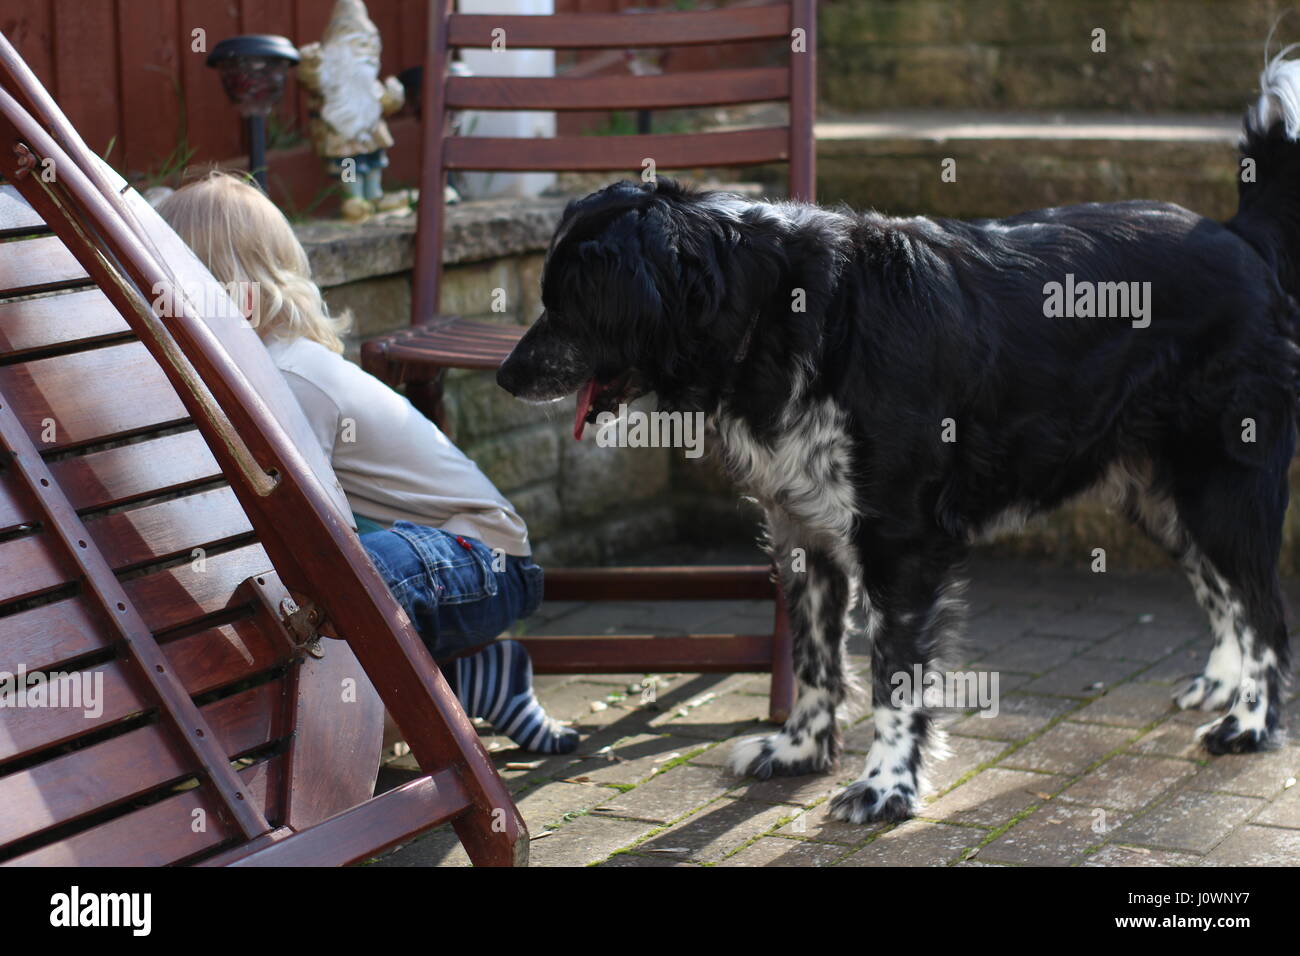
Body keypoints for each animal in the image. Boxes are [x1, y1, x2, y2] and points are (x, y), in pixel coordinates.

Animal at [493, 48, 1300, 822]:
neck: (784, 312)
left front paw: (886, 788)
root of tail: (1240, 239)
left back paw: (1250, 724)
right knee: (1226, 598)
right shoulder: (802, 535)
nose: (504, 375)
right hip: (1162, 498)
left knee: (1266, 613)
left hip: (1223, 486)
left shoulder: (900, 545)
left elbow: (895, 682)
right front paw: (799, 751)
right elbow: (815, 664)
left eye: (567, 303)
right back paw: (1221, 688)